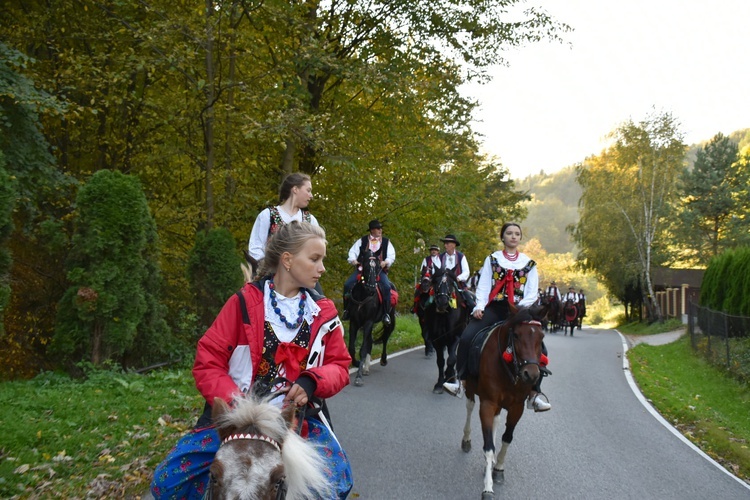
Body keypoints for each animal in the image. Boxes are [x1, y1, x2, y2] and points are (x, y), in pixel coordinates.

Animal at [346, 250, 396, 386]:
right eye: (366, 266)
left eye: (378, 267)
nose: (371, 288)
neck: (363, 295)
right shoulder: (354, 322)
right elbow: (352, 347)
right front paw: (357, 363)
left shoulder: (368, 321)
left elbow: (363, 349)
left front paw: (358, 376)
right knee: (370, 340)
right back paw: (366, 367)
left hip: (388, 321)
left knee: (385, 338)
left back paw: (383, 360)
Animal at [462, 304, 548, 500]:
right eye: (516, 335)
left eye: (541, 337)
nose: (531, 375)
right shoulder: (487, 403)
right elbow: (488, 447)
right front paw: (487, 488)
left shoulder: (516, 408)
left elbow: (507, 438)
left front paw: (499, 469)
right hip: (470, 388)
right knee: (469, 407)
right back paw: (466, 440)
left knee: (496, 421)